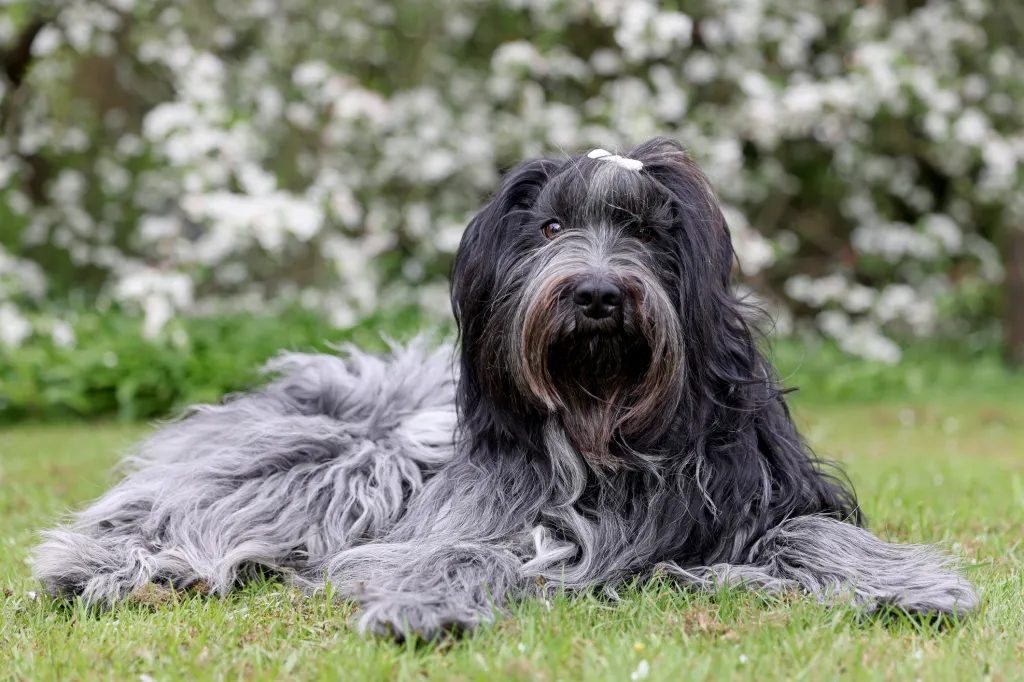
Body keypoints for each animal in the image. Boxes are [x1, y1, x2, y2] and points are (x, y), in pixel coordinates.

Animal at [32, 137, 974, 638]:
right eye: (551, 227)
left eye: (645, 232)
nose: (597, 295)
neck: (604, 430)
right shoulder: (464, 521)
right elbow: (465, 551)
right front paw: (421, 605)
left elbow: (813, 533)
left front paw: (909, 585)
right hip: (340, 457)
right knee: (176, 508)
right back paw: (109, 570)